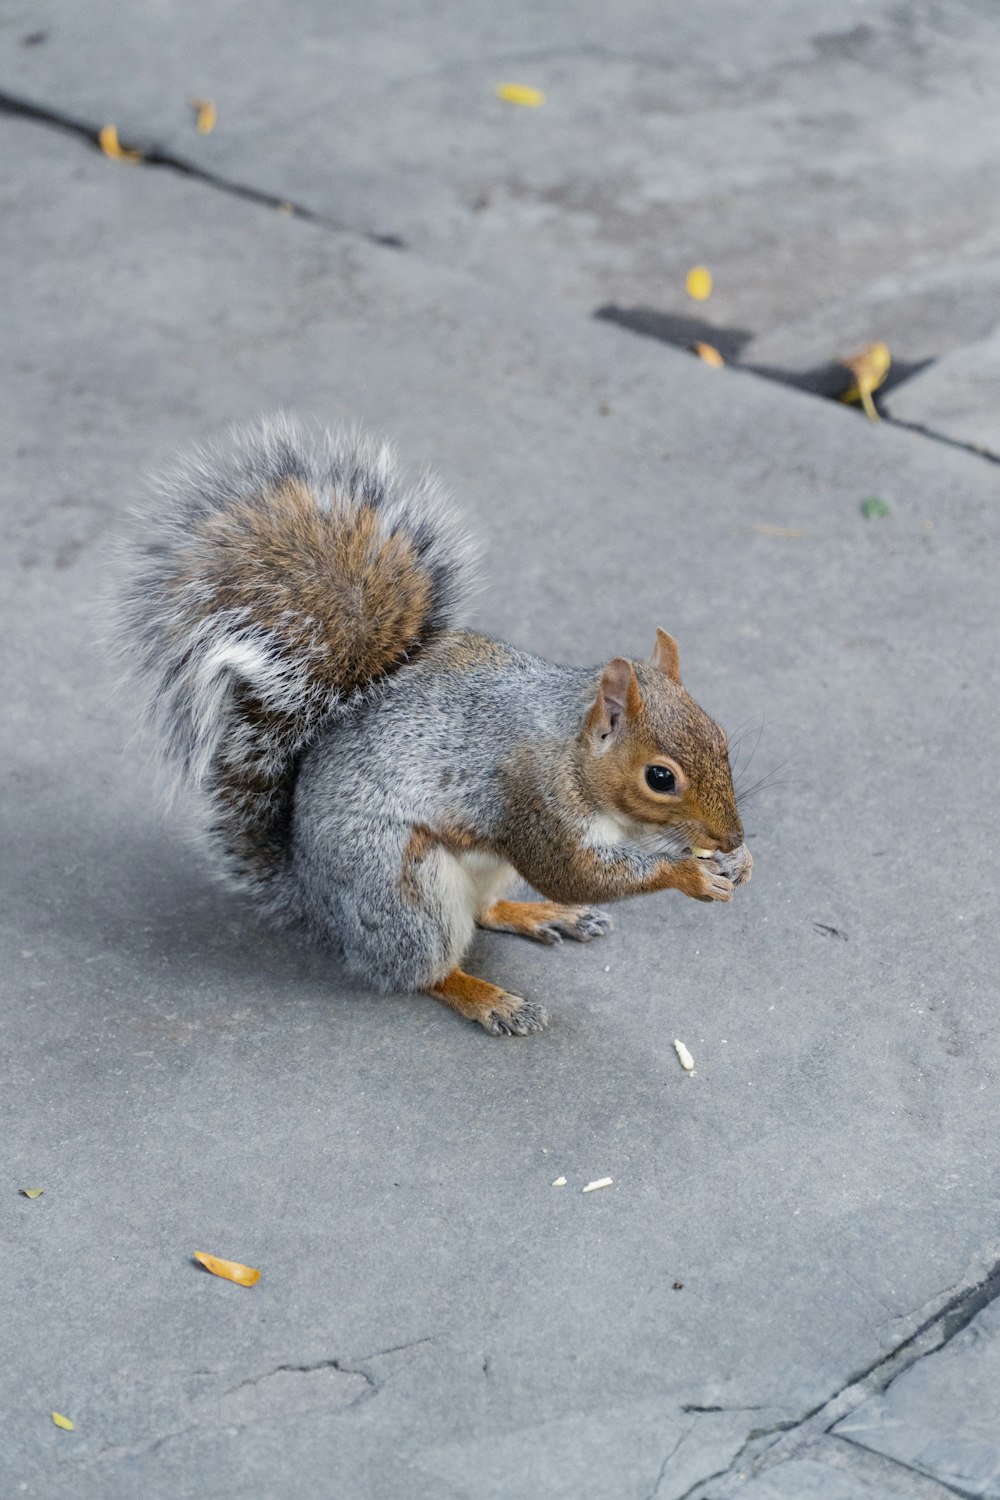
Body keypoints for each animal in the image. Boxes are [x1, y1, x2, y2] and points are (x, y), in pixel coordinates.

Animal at [119, 417, 749, 1038]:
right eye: (660, 778)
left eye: (721, 738)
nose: (731, 838)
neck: (572, 754)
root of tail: (315, 899)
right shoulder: (532, 800)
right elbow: (573, 872)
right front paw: (690, 875)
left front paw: (734, 863)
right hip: (405, 889)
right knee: (427, 969)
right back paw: (488, 998)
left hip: (488, 870)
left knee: (485, 912)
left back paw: (543, 915)